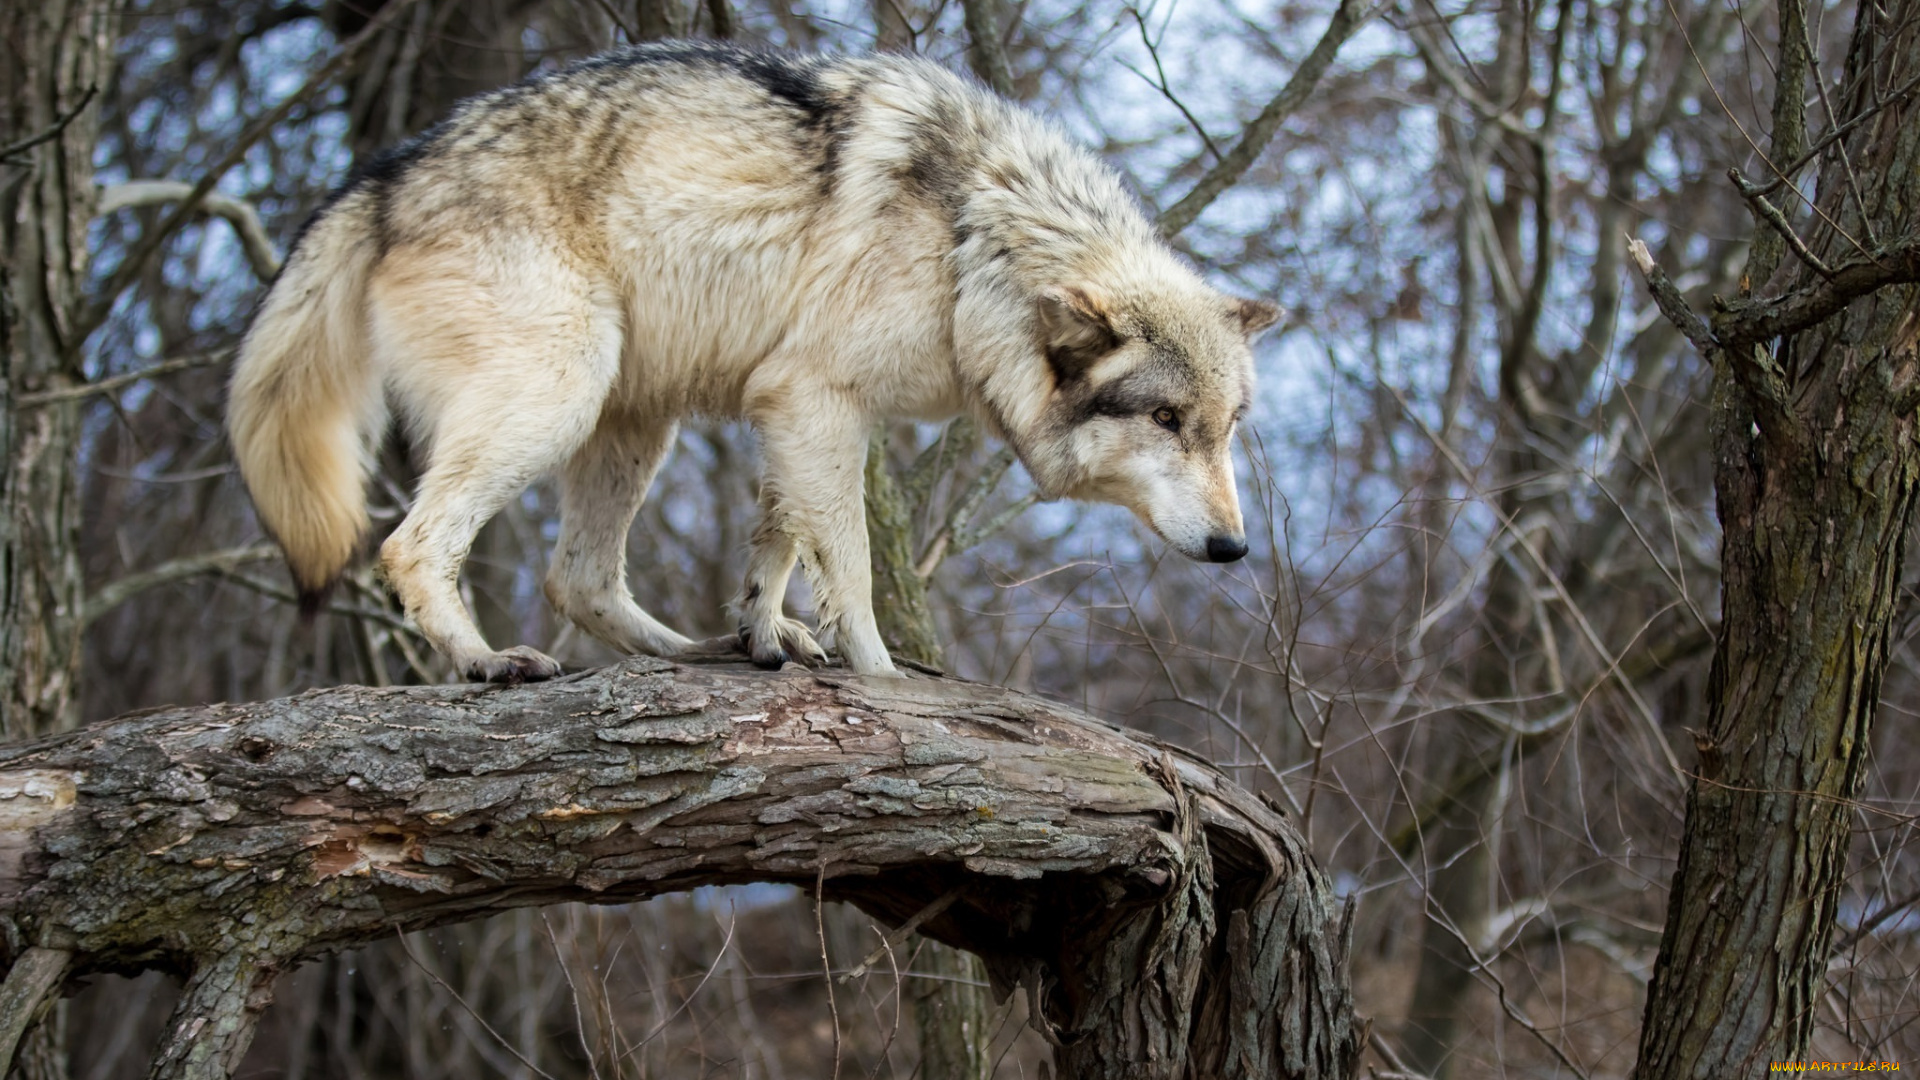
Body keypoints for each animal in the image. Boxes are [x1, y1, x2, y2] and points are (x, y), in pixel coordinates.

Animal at [228, 46, 1274, 680]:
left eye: (1224, 430)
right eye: (1166, 420)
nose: (1235, 549)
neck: (976, 238)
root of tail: (383, 175)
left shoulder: (790, 408)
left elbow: (775, 542)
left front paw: (764, 633)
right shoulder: (819, 401)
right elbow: (848, 567)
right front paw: (884, 680)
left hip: (631, 422)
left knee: (579, 579)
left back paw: (690, 652)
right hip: (559, 395)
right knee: (411, 547)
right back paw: (487, 663)